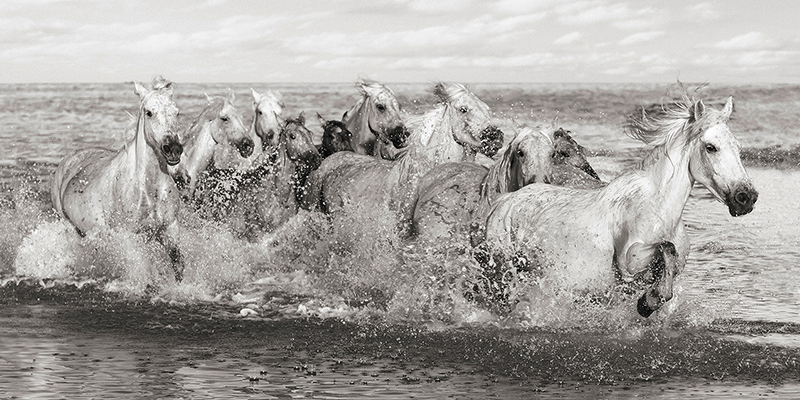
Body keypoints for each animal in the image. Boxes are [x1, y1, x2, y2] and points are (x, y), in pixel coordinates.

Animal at [51, 76, 186, 280]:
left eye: (177, 112)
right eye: (149, 113)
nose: (173, 149)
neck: (148, 189)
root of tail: (69, 160)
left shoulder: (170, 228)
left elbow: (178, 266)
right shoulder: (131, 236)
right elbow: (143, 270)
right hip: (69, 227)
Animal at [478, 88, 760, 318]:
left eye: (737, 147)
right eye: (711, 147)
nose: (746, 197)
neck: (660, 209)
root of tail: (503, 201)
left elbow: (669, 265)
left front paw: (648, 301)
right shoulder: (629, 260)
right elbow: (666, 248)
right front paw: (648, 302)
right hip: (504, 271)